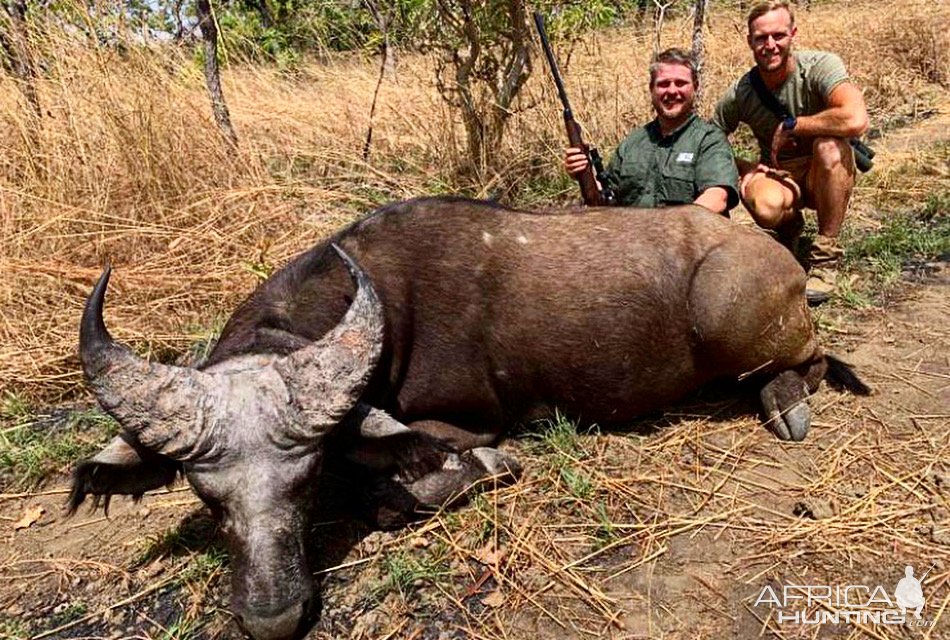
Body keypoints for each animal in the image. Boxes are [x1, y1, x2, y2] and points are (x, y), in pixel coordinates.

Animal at [69, 196, 872, 640]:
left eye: (305, 479)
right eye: (208, 498)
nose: (274, 619)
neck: (380, 304)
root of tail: (778, 261)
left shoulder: (467, 423)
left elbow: (403, 488)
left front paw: (481, 469)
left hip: (734, 320)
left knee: (815, 361)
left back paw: (786, 403)